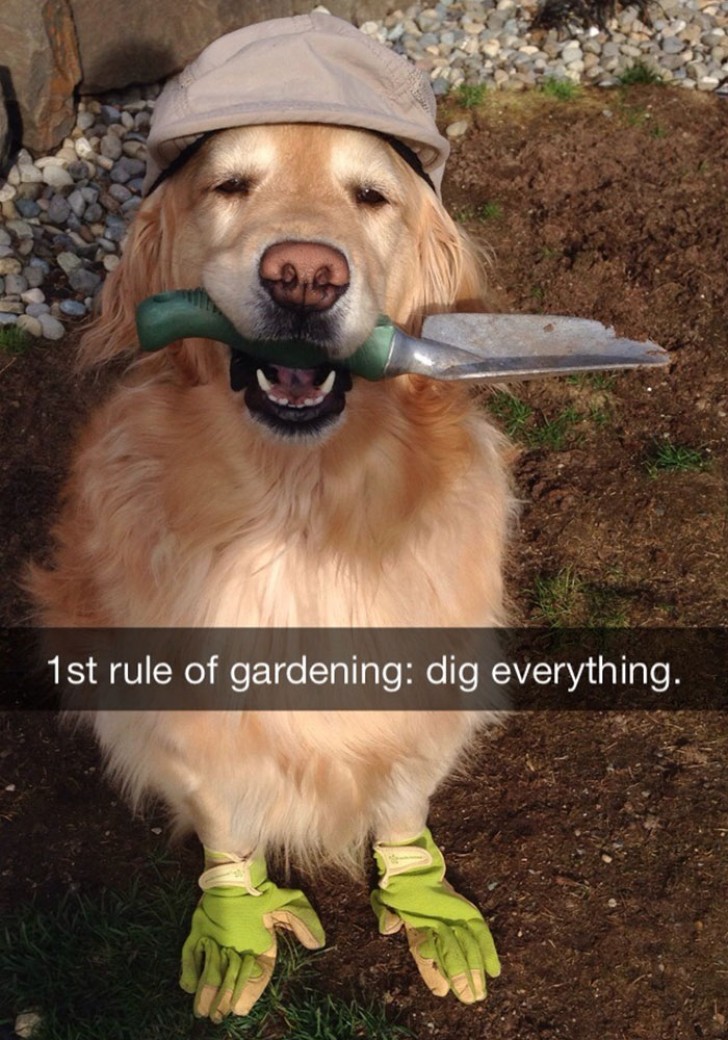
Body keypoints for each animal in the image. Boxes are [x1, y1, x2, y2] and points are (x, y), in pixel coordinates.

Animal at [29, 16, 511, 1023]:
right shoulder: (183, 714)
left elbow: (403, 795)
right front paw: (236, 916)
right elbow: (223, 809)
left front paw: (422, 896)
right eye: (229, 185)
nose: (304, 276)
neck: (299, 509)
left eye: (371, 195)